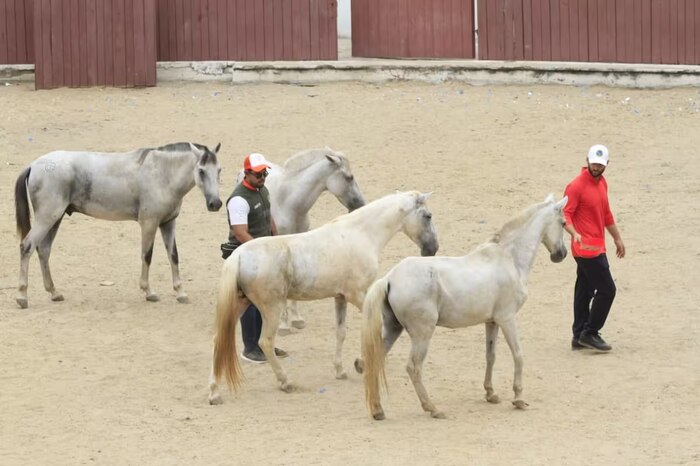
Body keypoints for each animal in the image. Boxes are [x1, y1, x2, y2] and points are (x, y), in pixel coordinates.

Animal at [14, 142, 223, 309]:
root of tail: (34, 165)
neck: (161, 174)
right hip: (47, 218)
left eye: (219, 170)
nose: (216, 204)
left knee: (44, 250)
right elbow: (147, 255)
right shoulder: (149, 223)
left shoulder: (168, 223)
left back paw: (54, 292)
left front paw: (180, 292)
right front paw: (149, 292)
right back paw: (22, 296)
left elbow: (174, 256)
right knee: (27, 247)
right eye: (201, 171)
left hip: (54, 219)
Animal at [208, 191, 439, 405]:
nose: (433, 249)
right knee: (265, 342)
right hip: (271, 309)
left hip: (240, 304)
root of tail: (238, 255)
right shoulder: (359, 296)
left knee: (219, 339)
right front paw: (362, 363)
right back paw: (285, 382)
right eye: (427, 216)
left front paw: (340, 370)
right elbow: (375, 327)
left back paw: (214, 393)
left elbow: (341, 332)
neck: (360, 234)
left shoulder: (341, 297)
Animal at [358, 194, 568, 420]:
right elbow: (518, 355)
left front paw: (490, 393)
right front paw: (518, 398)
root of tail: (390, 278)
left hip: (393, 328)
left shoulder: (492, 322)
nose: (562, 254)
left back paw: (378, 410)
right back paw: (432, 408)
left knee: (376, 359)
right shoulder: (507, 319)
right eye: (563, 223)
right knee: (413, 367)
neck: (509, 258)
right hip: (422, 334)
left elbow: (490, 356)